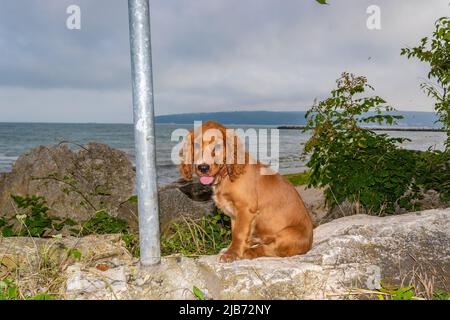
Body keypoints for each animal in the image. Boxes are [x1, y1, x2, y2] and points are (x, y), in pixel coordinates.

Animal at [178, 121, 312, 262]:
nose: (203, 168)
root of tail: (310, 242)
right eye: (197, 145)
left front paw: (232, 253)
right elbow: (235, 232)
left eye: (218, 146)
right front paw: (233, 249)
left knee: (270, 249)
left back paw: (250, 251)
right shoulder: (234, 215)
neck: (225, 176)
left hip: (288, 235)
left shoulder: (245, 209)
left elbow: (239, 233)